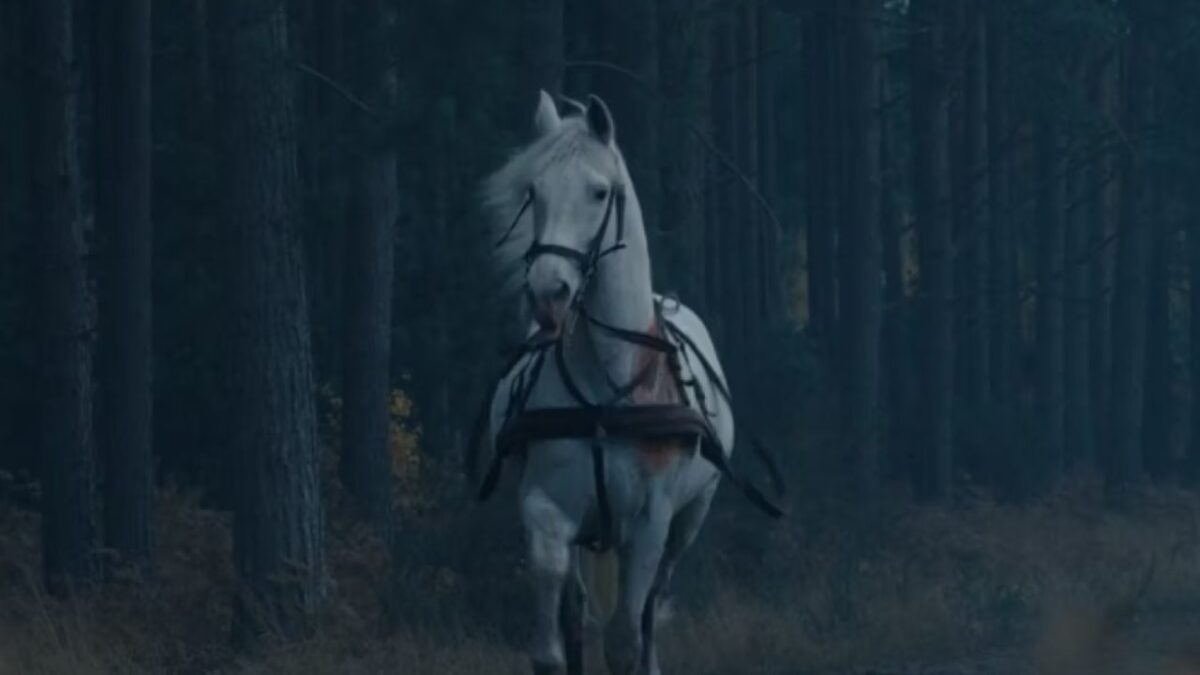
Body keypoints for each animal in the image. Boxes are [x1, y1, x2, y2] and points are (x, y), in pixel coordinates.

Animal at [472, 90, 763, 675]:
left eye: (599, 192)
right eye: (533, 191)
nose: (549, 292)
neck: (606, 390)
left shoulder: (650, 523)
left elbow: (627, 637)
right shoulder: (547, 503)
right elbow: (555, 625)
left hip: (689, 519)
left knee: (651, 605)